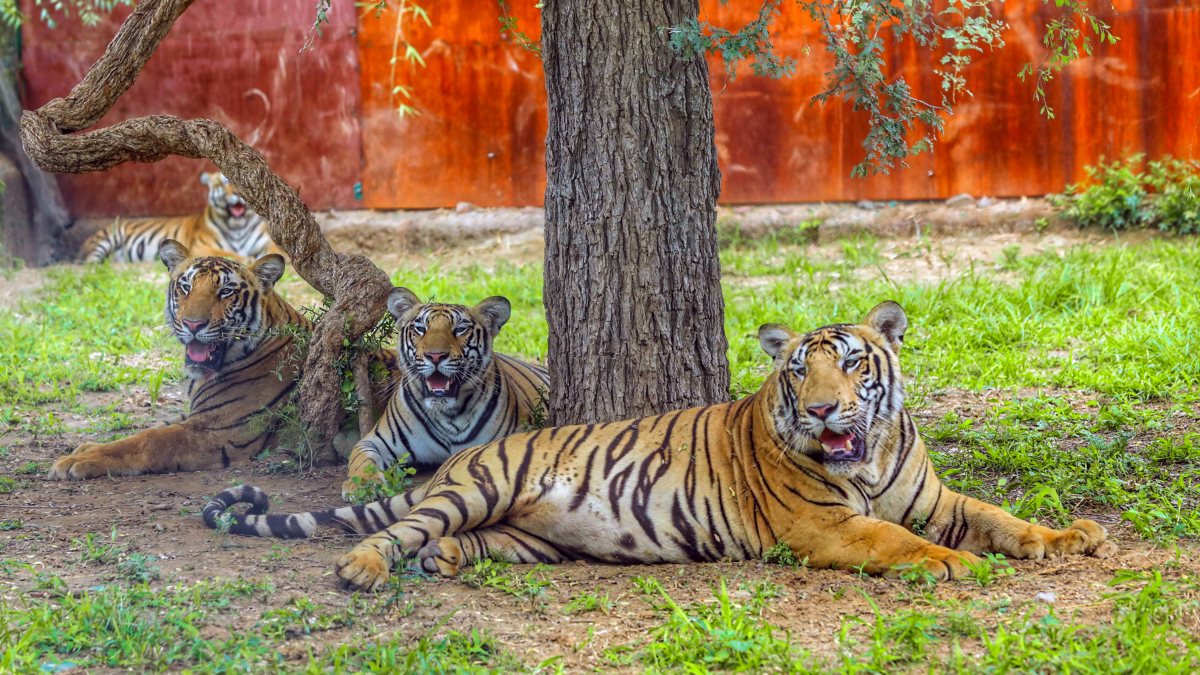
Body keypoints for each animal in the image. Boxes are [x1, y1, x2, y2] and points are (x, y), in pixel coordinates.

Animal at [48, 239, 393, 480]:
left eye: (226, 292)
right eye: (185, 287)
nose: (192, 324)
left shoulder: (220, 428)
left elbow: (149, 439)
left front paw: (77, 461)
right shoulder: (199, 413)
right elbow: (145, 430)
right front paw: (87, 448)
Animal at [79, 171, 281, 263]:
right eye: (224, 183)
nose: (239, 194)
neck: (239, 225)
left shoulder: (267, 243)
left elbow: (278, 253)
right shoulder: (201, 246)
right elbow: (230, 254)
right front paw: (248, 259)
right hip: (109, 237)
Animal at [340, 287, 550, 499]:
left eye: (460, 329)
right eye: (420, 329)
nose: (435, 356)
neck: (448, 414)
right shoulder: (376, 440)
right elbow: (362, 461)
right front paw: (363, 486)